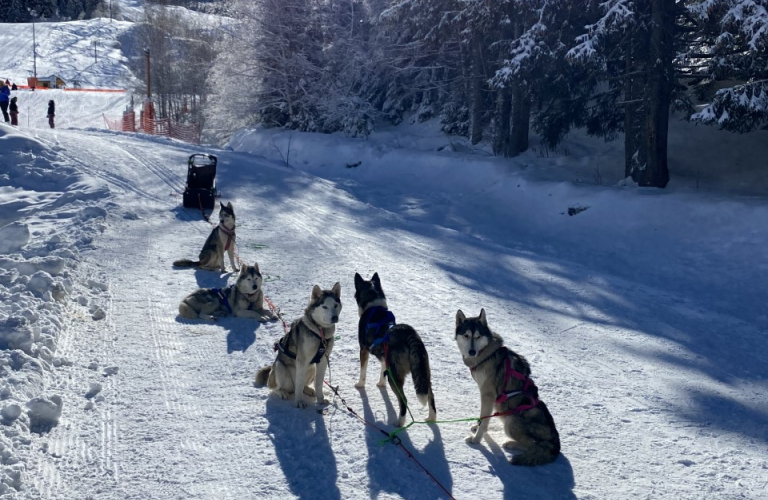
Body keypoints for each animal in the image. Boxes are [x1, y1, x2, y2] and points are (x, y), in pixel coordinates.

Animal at [354, 272, 438, 428]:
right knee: (430, 395)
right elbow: (382, 372)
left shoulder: (363, 350)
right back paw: (431, 418)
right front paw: (381, 384)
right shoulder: (384, 358)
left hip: (396, 375)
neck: (374, 306)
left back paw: (399, 422)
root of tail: (409, 334)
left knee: (403, 399)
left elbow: (363, 372)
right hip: (423, 372)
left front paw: (360, 385)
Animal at [452, 306, 560, 466]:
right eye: (466, 335)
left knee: (533, 446)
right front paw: (477, 427)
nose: (472, 351)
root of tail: (556, 445)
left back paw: (510, 444)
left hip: (511, 422)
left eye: (478, 336)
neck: (486, 353)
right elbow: (484, 417)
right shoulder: (489, 398)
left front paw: (476, 440)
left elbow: (485, 419)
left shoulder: (488, 395)